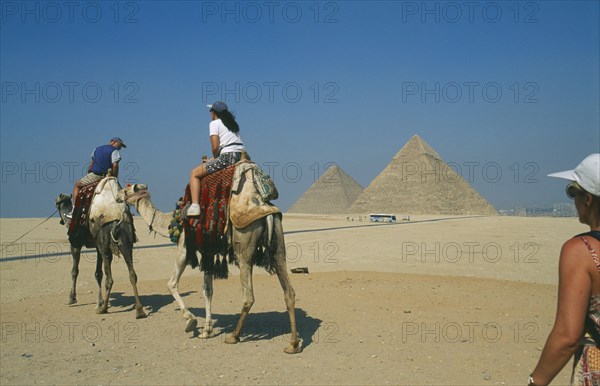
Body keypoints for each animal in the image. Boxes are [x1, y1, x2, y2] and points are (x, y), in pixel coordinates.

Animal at [55, 178, 148, 320]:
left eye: (56, 202)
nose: (60, 221)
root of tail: (118, 218)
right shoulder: (98, 247)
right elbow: (98, 273)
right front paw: (99, 302)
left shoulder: (75, 244)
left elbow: (74, 271)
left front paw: (72, 298)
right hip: (126, 242)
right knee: (132, 274)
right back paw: (139, 310)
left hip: (106, 246)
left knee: (110, 279)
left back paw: (104, 309)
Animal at [119, 176, 302, 354]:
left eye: (126, 189)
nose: (118, 197)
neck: (171, 221)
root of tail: (268, 214)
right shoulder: (208, 253)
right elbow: (208, 291)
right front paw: (206, 331)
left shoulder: (184, 249)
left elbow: (171, 284)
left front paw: (191, 321)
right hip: (278, 245)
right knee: (289, 291)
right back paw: (293, 344)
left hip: (244, 250)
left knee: (248, 296)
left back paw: (233, 336)